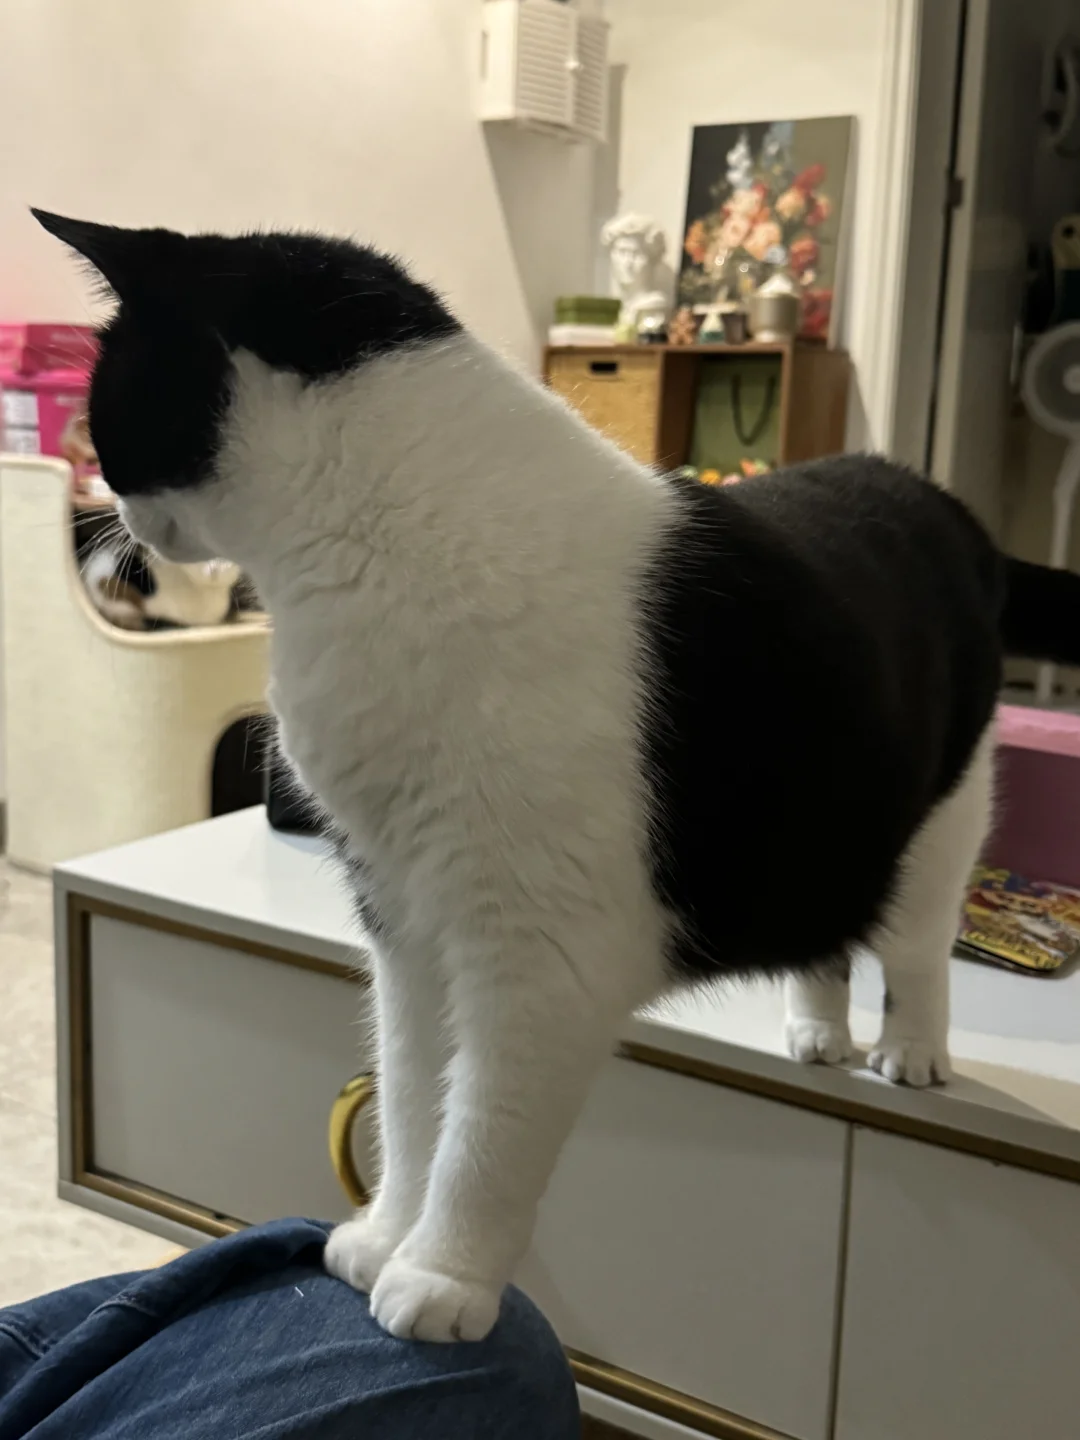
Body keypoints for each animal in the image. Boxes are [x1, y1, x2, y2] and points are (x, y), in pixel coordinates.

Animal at [34, 209, 1080, 1344]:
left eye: (109, 412)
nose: (112, 517)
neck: (384, 539)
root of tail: (938, 498)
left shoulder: (537, 948)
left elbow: (486, 1132)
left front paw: (441, 1276)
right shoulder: (400, 913)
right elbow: (410, 1093)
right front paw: (385, 1234)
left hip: (942, 813)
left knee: (919, 939)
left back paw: (912, 1050)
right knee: (829, 933)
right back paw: (815, 1030)